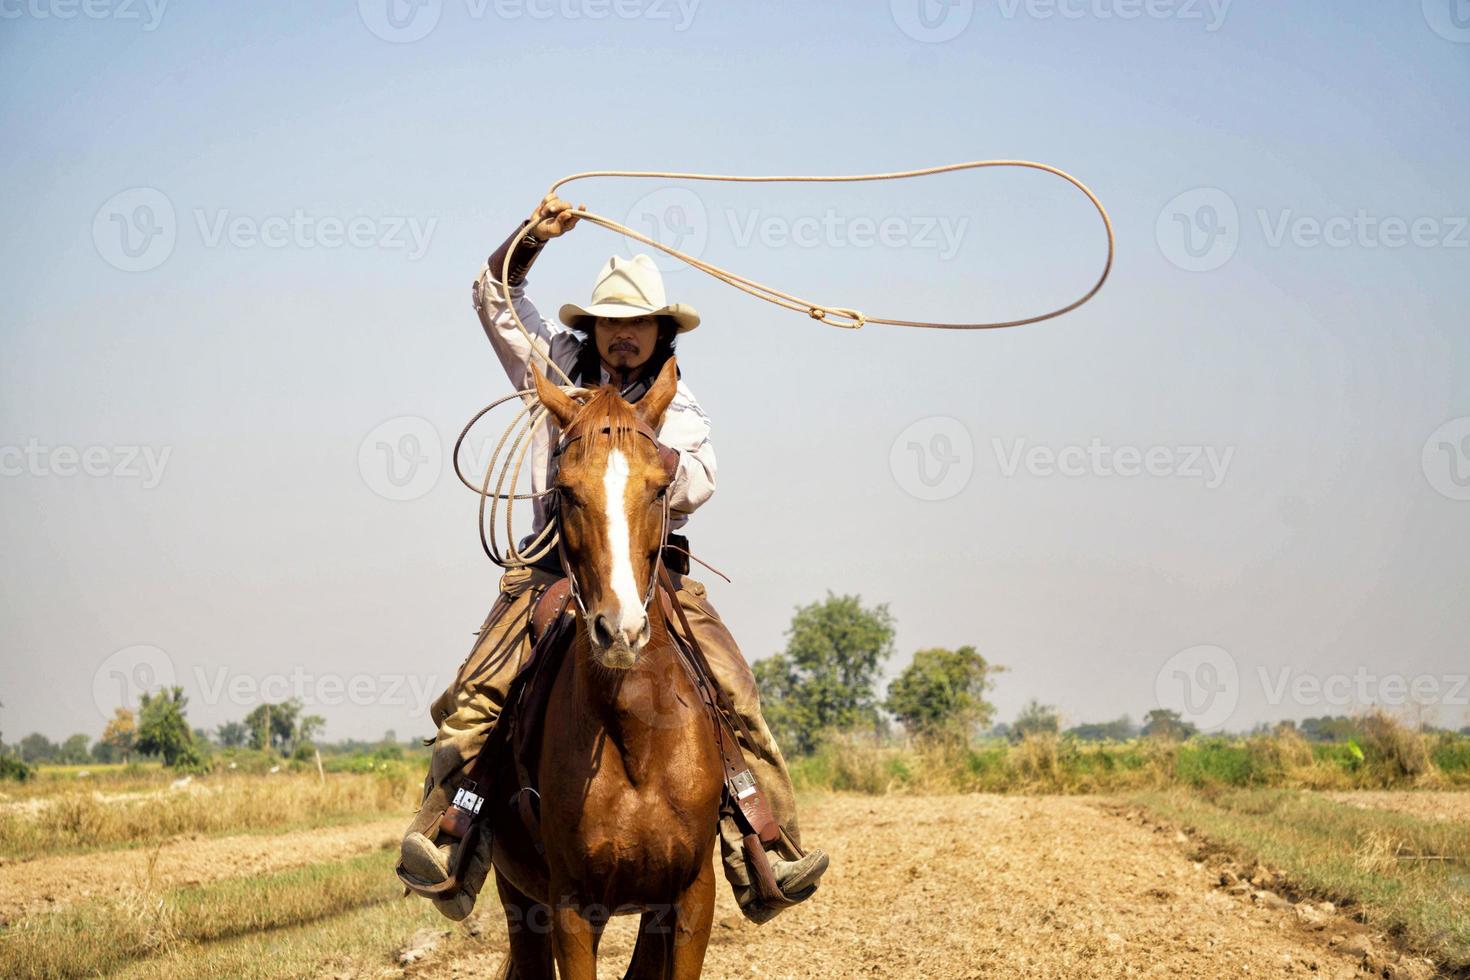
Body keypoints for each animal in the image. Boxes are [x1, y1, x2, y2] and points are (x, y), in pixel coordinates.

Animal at [488, 358, 723, 980]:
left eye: (660, 486)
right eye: (566, 492)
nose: (620, 630)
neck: (637, 740)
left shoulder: (691, 896)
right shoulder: (569, 908)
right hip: (519, 899)